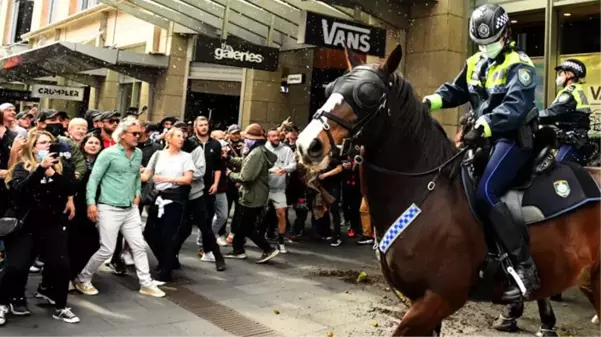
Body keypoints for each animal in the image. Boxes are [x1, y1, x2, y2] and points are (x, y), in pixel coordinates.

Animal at [298, 44, 600, 336]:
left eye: (368, 94)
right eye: (330, 88)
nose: (307, 145)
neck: (424, 193)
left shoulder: (439, 298)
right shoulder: (421, 300)